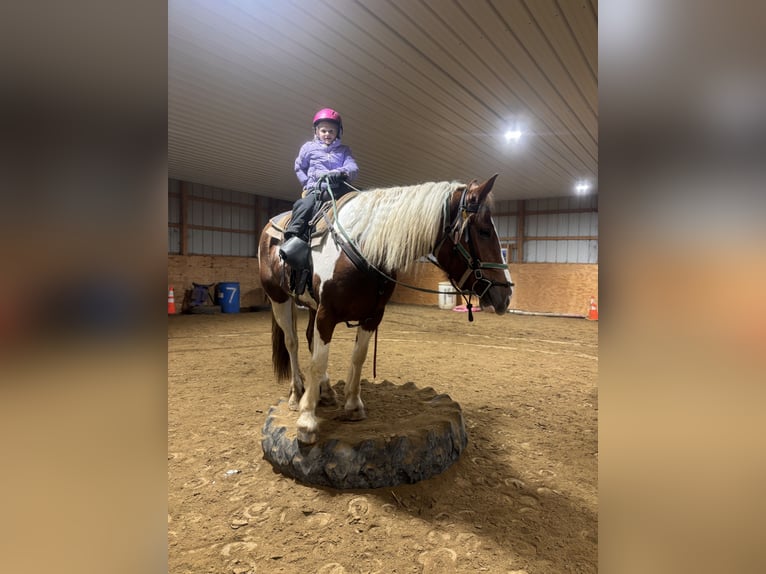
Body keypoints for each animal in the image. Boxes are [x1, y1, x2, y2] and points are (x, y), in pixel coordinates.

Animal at [257, 174, 513, 444]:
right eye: (484, 231)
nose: (506, 294)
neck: (363, 247)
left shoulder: (372, 316)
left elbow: (357, 357)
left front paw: (353, 405)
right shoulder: (327, 314)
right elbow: (318, 361)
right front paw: (307, 420)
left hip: (311, 306)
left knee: (307, 340)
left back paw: (325, 392)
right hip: (279, 299)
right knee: (292, 342)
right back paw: (297, 394)